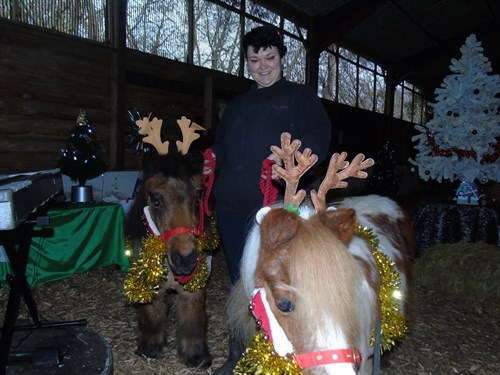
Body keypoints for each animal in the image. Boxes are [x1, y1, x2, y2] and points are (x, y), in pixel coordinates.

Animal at [125, 116, 213, 368]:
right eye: (156, 200)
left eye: (198, 198)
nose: (185, 259)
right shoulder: (150, 285)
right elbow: (152, 315)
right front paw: (150, 348)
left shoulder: (194, 288)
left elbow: (193, 320)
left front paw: (197, 356)